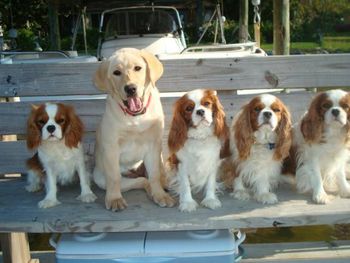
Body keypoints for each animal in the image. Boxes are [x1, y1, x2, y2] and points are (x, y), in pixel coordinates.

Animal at [93, 48, 175, 212]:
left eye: (138, 68)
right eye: (116, 72)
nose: (130, 89)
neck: (135, 117)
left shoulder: (153, 146)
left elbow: (154, 174)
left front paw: (160, 195)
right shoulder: (111, 148)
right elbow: (114, 177)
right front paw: (114, 199)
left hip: (159, 152)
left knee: (156, 173)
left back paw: (161, 187)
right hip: (99, 177)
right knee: (141, 180)